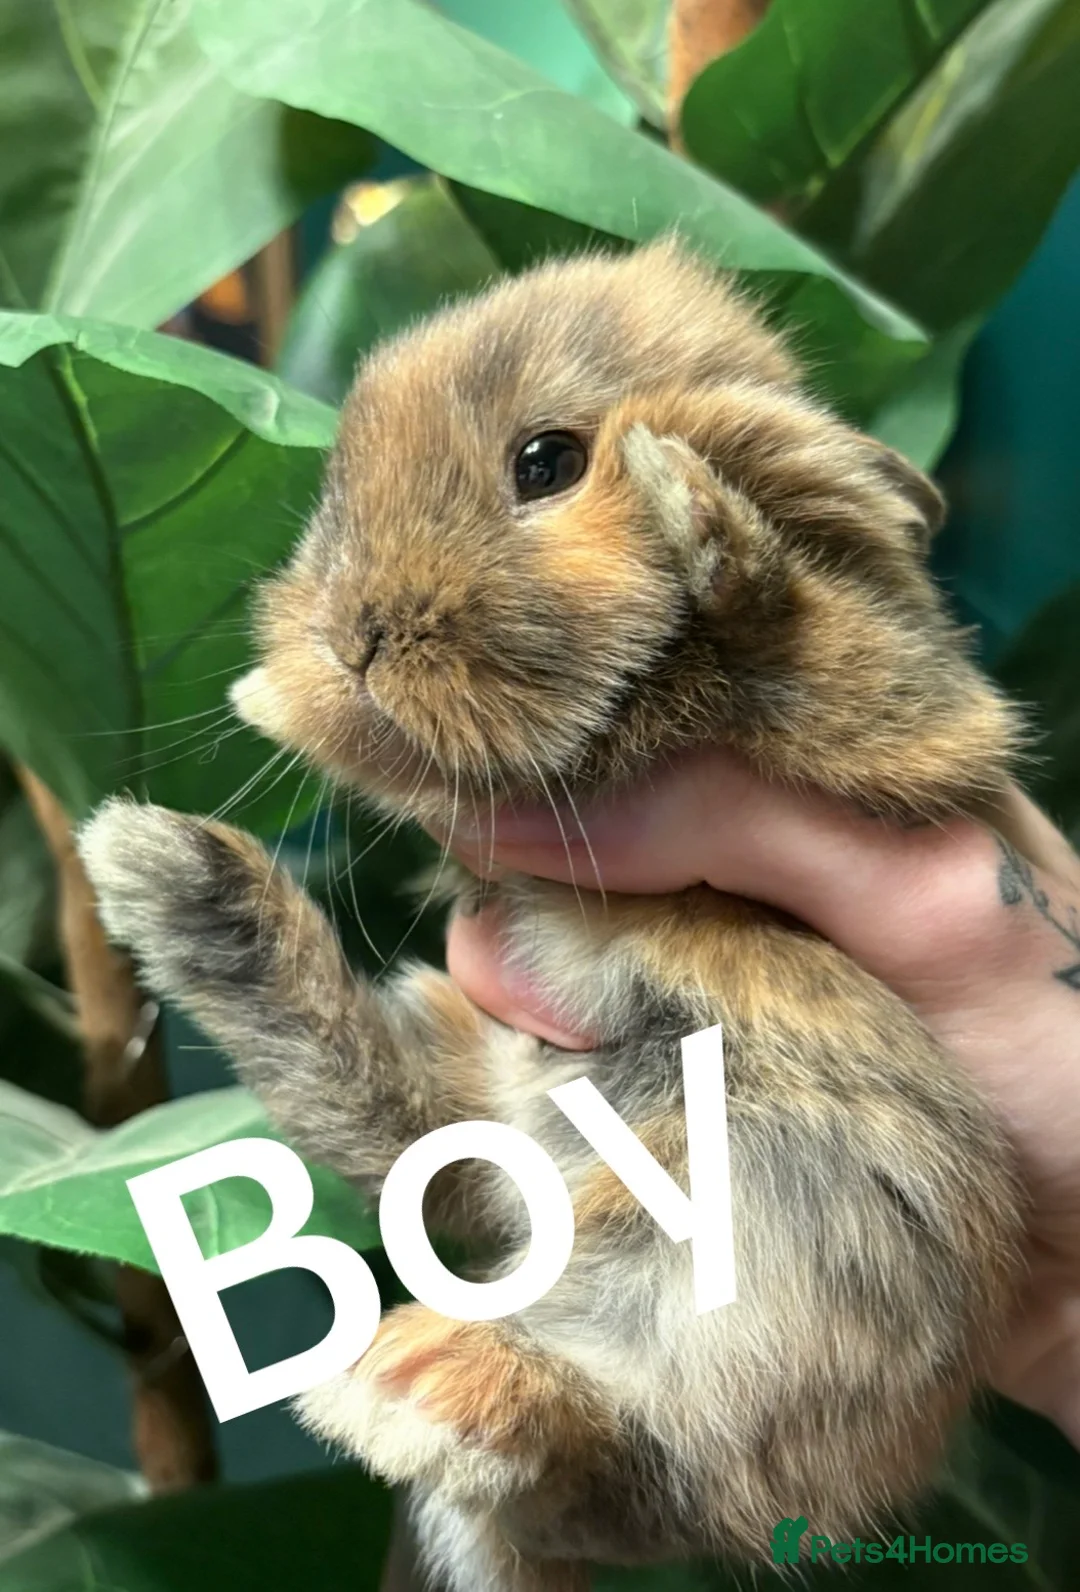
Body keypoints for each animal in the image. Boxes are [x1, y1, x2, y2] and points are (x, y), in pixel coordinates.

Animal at [79, 239, 1027, 1592]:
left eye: (548, 462)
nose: (356, 631)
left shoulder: (913, 731)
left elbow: (807, 639)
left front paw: (690, 501)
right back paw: (168, 875)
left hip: (780, 1211)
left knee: (657, 1456)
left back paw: (429, 1386)